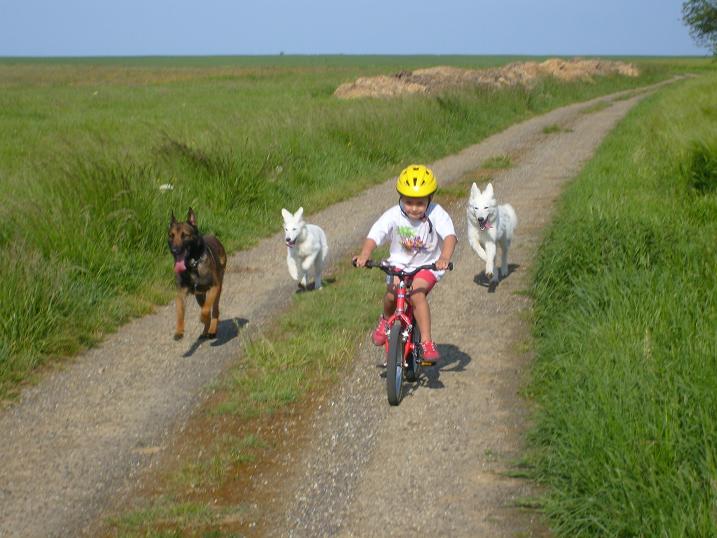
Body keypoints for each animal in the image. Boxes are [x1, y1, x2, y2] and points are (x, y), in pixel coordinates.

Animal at [168, 206, 227, 338]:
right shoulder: (180, 294)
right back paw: (205, 330)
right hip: (199, 296)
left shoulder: (214, 287)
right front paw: (179, 330)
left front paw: (203, 318)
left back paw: (212, 329)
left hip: (218, 289)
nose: (174, 250)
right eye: (171, 236)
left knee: (215, 310)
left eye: (185, 235)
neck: (192, 266)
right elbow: (180, 311)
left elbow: (206, 310)